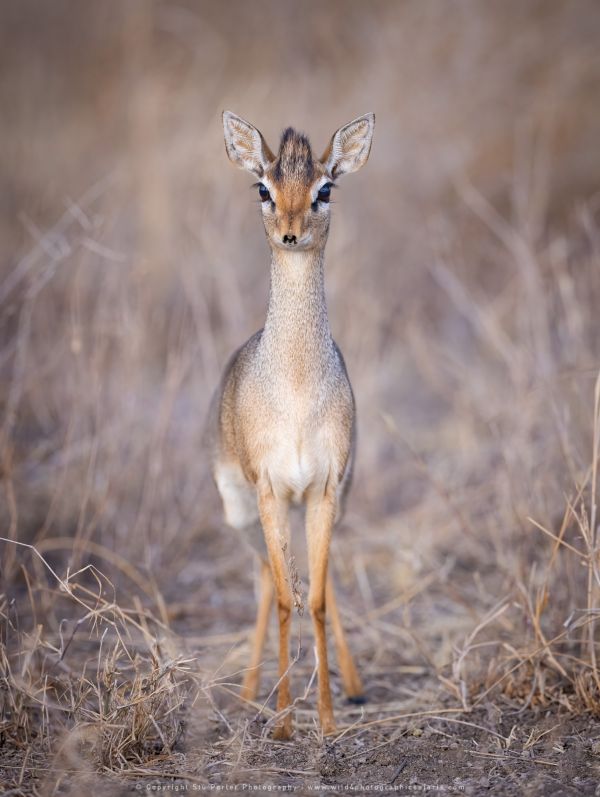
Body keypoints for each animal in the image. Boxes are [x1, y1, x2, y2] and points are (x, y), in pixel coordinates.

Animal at [209, 109, 372, 736]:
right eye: (264, 188)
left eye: (325, 188)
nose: (290, 234)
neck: (299, 392)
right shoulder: (270, 490)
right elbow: (285, 599)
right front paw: (281, 722)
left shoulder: (324, 488)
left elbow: (318, 599)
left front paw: (324, 720)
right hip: (241, 512)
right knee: (261, 579)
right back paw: (249, 693)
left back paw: (353, 686)